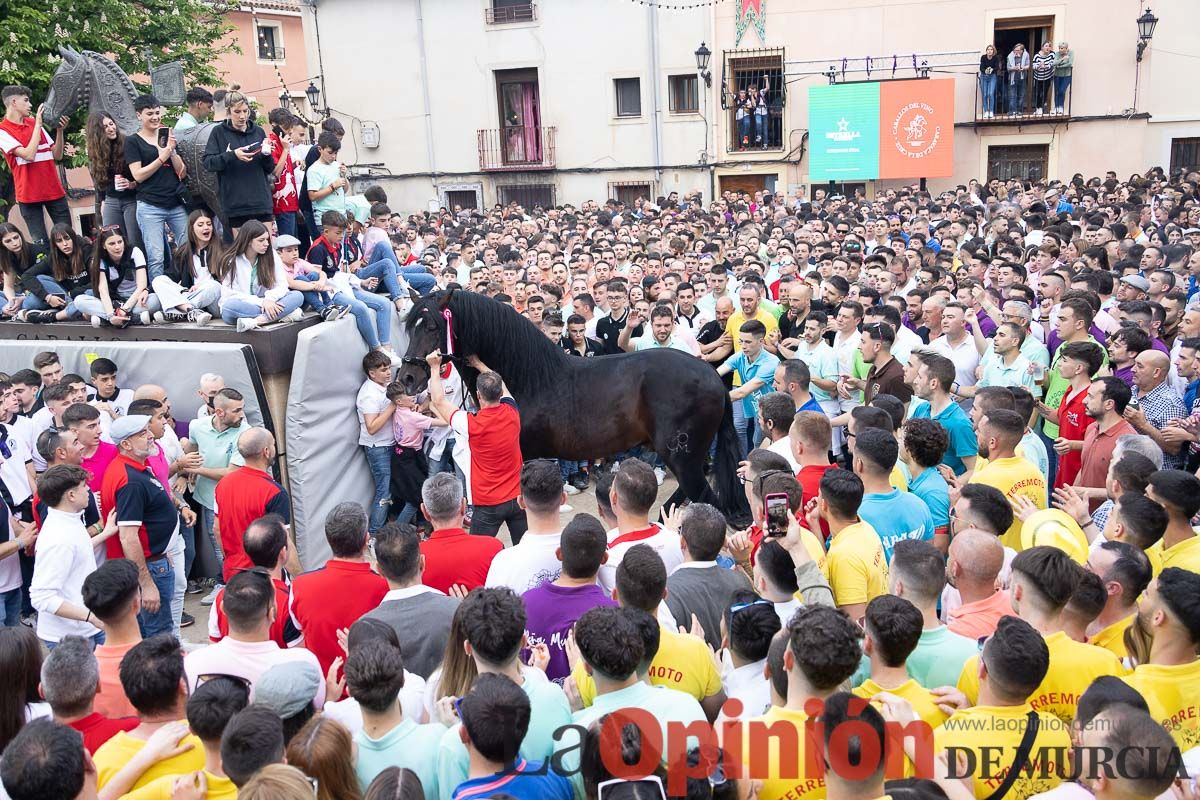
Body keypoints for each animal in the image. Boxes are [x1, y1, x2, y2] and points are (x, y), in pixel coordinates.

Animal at [398, 291, 744, 522]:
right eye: (410, 326)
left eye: (432, 326)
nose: (407, 378)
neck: (530, 378)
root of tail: (712, 376)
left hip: (682, 456)